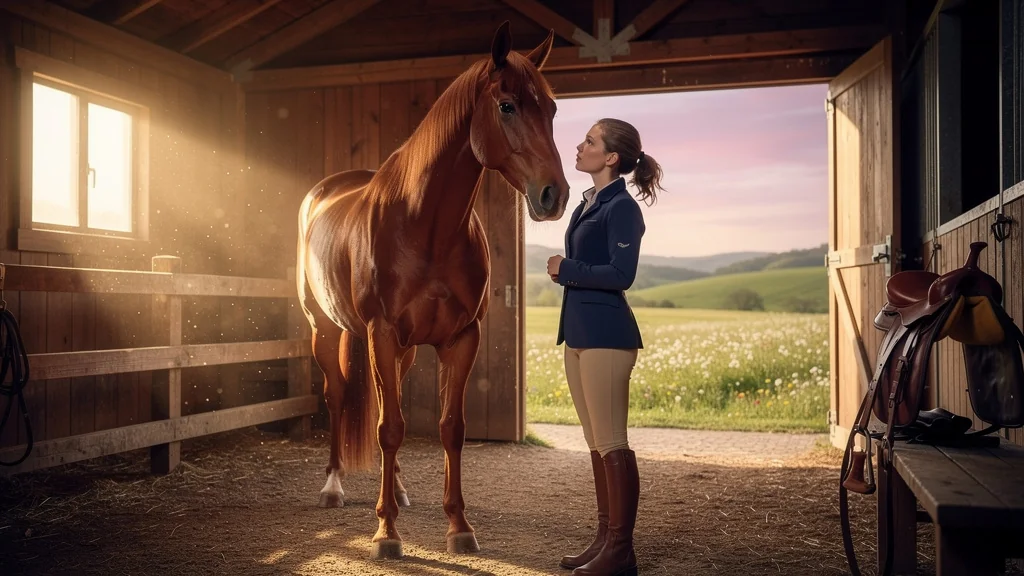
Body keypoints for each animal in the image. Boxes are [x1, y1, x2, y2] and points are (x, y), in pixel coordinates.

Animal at [295, 21, 570, 560]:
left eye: (550, 109)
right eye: (507, 105)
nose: (555, 195)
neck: (425, 226)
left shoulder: (460, 338)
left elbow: (449, 428)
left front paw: (458, 526)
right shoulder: (381, 332)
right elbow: (389, 428)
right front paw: (386, 532)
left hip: (400, 350)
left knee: (390, 403)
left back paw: (398, 488)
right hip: (326, 329)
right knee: (338, 397)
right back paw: (333, 486)